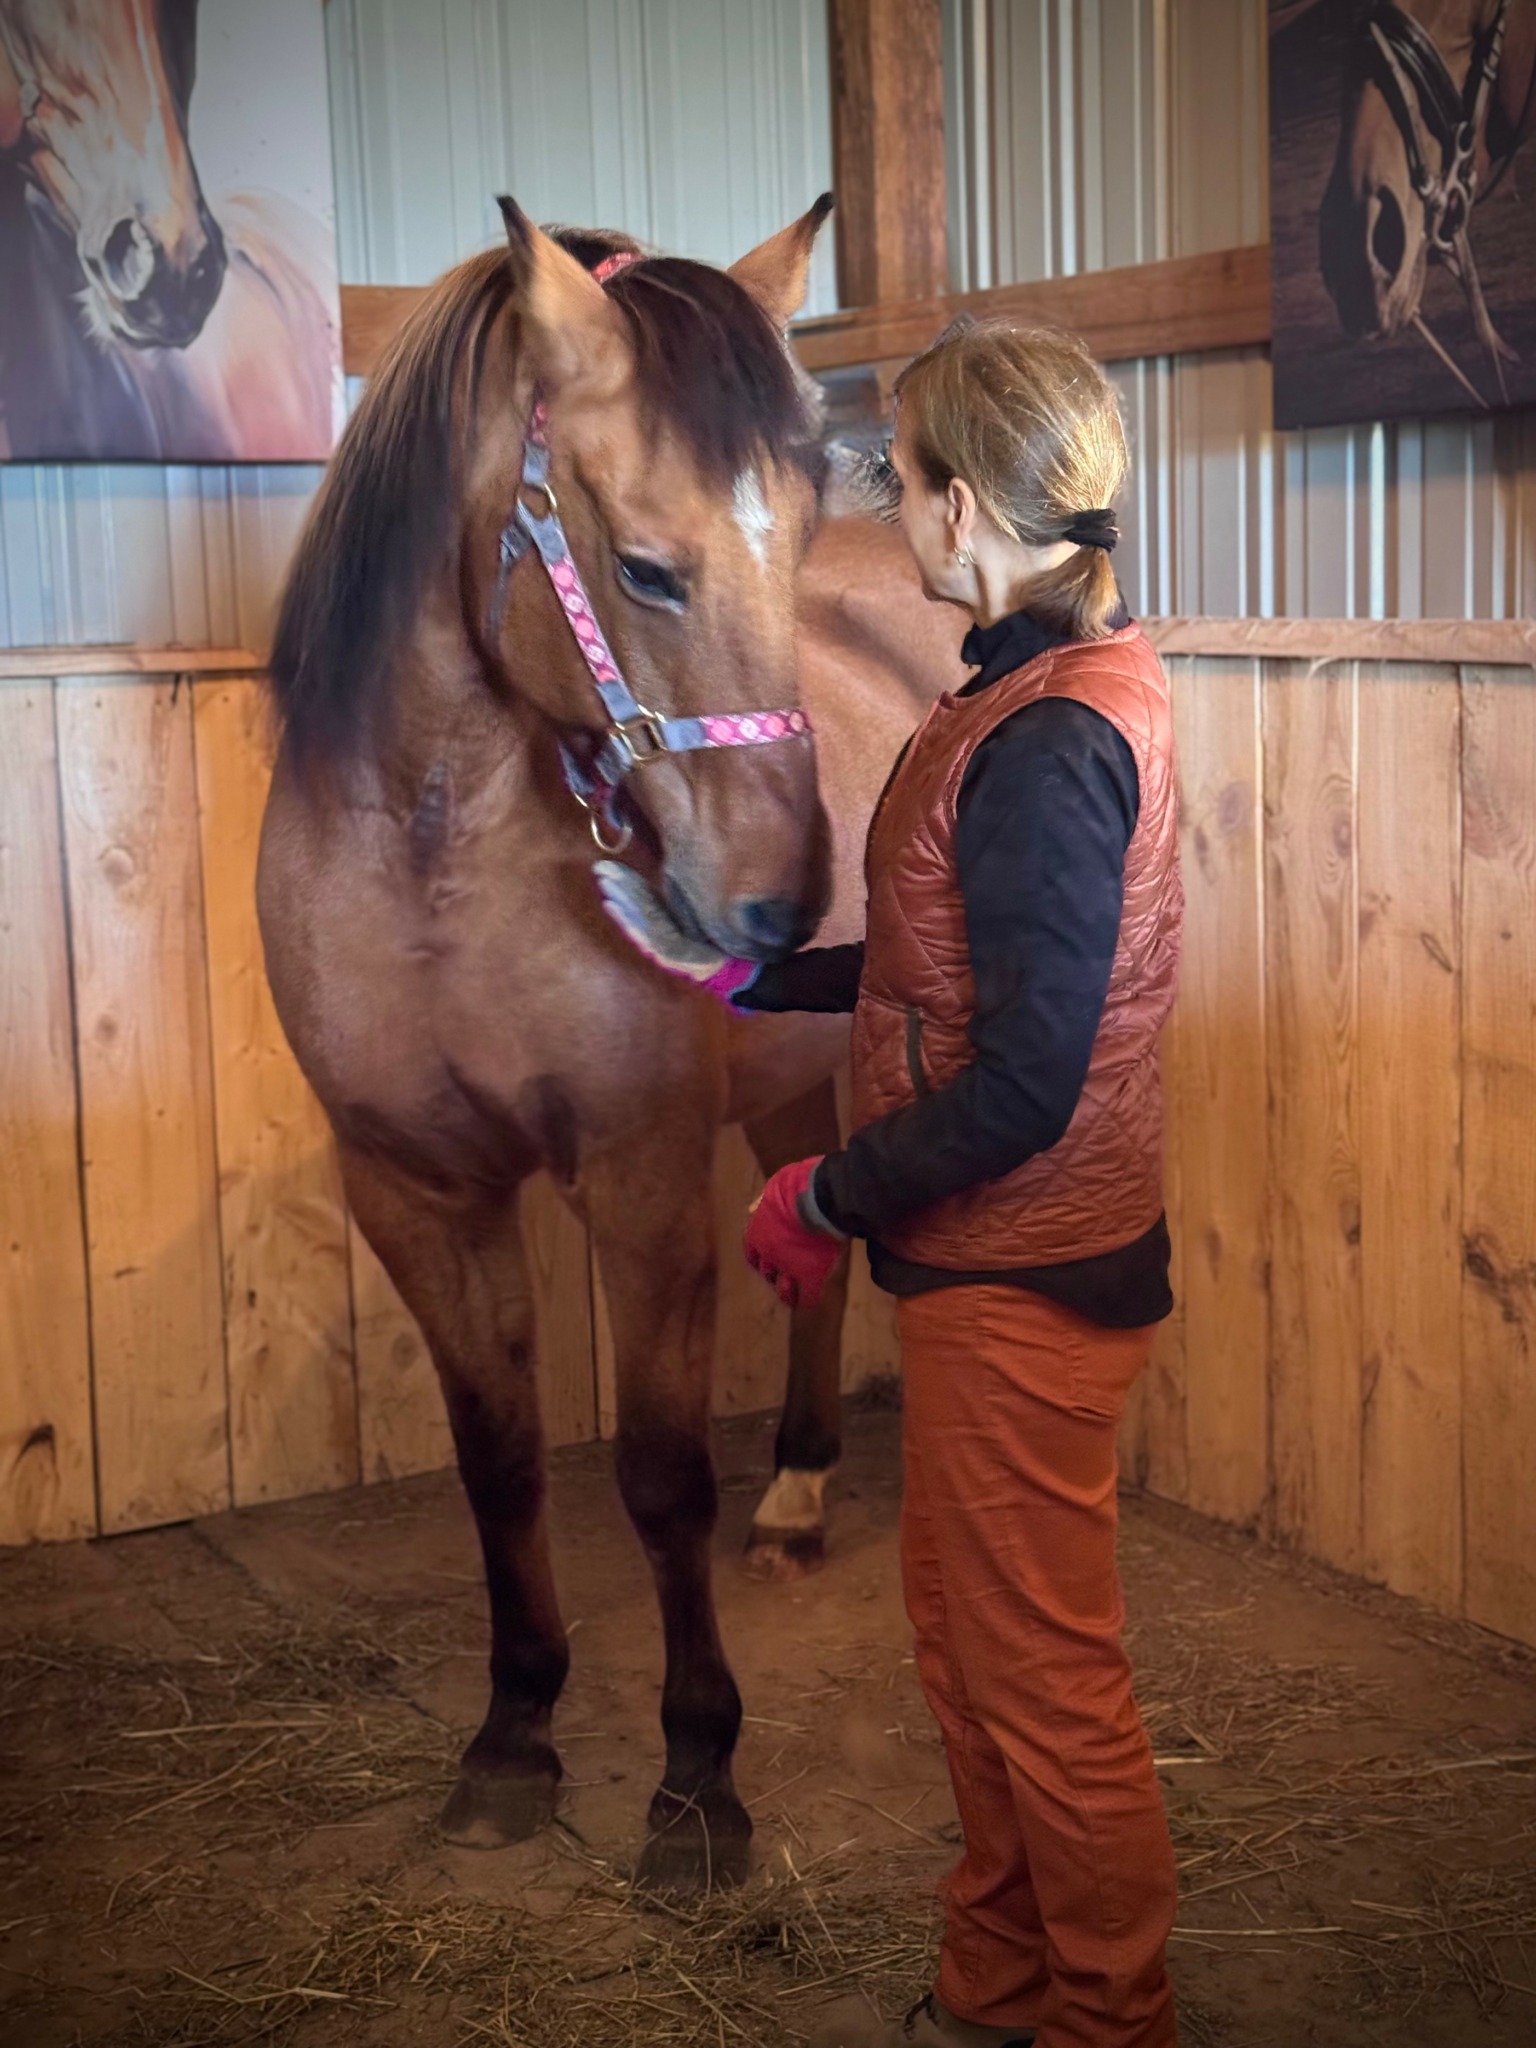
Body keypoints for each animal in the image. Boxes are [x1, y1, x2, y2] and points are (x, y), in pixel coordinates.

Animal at [257, 198, 963, 1891]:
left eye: (793, 527)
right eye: (644, 566)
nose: (776, 900)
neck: (433, 857)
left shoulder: (638, 1183)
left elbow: (656, 1477)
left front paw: (697, 1780)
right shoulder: (414, 1191)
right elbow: (500, 1460)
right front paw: (513, 1738)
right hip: (790, 1088)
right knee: (816, 1250)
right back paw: (797, 1495)